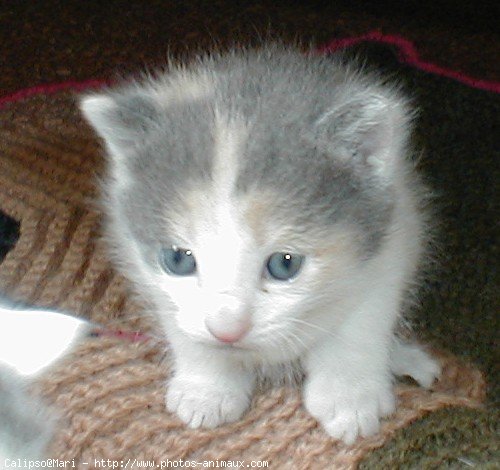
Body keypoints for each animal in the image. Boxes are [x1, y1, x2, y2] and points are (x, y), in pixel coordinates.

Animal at [80, 46, 440, 446]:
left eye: (285, 264)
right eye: (177, 260)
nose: (227, 329)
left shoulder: (394, 243)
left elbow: (359, 325)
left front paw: (349, 398)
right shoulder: (144, 267)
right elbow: (183, 324)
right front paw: (206, 390)